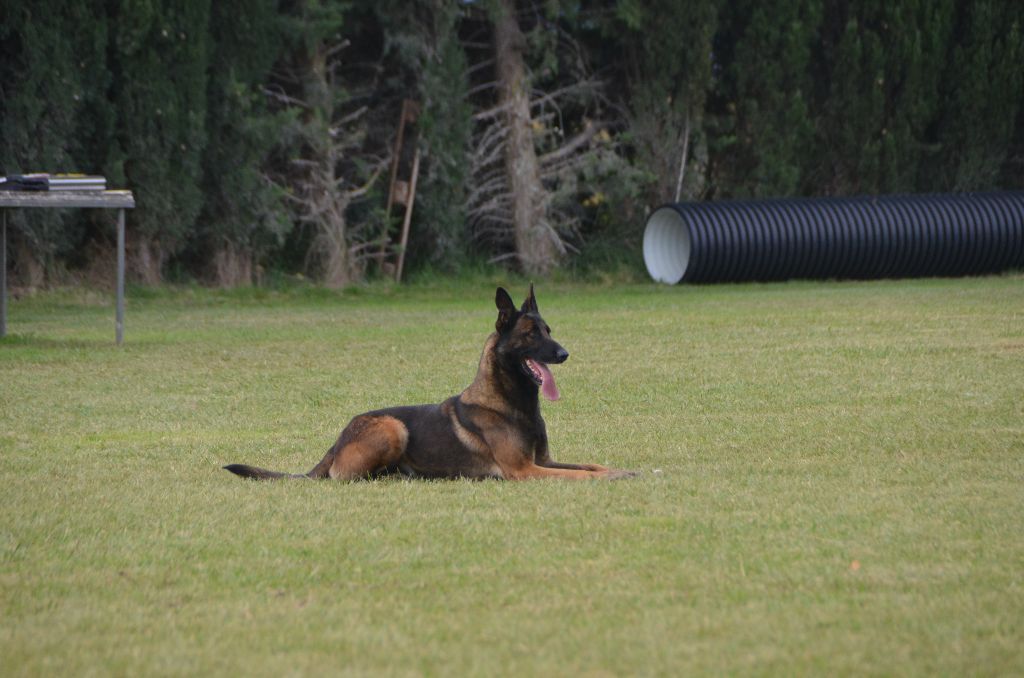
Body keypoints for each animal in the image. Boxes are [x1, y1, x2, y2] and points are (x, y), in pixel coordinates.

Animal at [226, 286, 630, 483]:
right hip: (393, 428)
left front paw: (617, 469)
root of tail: (338, 438)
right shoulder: (525, 471)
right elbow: (574, 476)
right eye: (531, 334)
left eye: (549, 330)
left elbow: (588, 466)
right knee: (343, 477)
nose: (564, 353)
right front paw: (614, 476)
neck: (511, 402)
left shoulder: (541, 461)